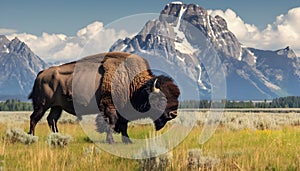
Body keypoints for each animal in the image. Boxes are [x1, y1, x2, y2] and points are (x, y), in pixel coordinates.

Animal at [28, 51, 180, 143]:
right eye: (161, 99)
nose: (173, 114)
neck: (134, 84)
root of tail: (41, 73)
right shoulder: (109, 107)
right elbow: (111, 123)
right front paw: (111, 141)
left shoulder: (123, 111)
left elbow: (123, 126)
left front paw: (127, 141)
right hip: (42, 105)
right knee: (34, 118)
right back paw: (32, 137)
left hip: (57, 107)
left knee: (51, 120)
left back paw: (57, 136)